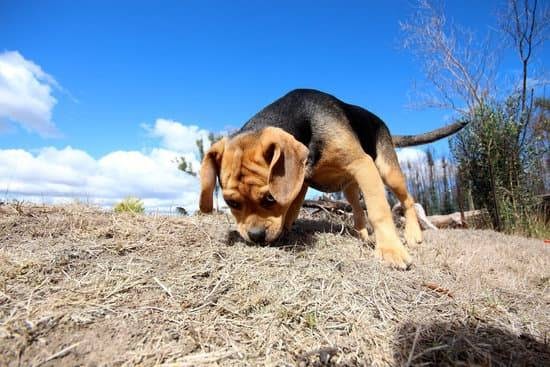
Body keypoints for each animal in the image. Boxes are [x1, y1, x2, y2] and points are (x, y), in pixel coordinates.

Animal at [198, 88, 466, 268]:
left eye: (270, 199)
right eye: (232, 203)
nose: (255, 237)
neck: (306, 123)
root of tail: (383, 124)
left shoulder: (363, 164)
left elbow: (379, 211)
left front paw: (391, 250)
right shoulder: (301, 182)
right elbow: (291, 210)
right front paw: (285, 229)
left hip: (386, 171)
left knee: (408, 200)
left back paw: (412, 235)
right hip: (350, 185)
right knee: (357, 208)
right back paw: (361, 234)